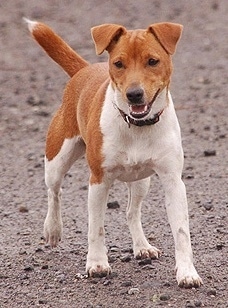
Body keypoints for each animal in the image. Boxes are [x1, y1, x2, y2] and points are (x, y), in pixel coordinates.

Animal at [25, 18, 202, 288]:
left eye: (153, 61)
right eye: (119, 64)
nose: (134, 94)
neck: (136, 125)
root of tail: (85, 69)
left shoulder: (173, 181)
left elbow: (181, 231)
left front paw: (187, 273)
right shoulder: (98, 181)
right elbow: (96, 227)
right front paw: (97, 264)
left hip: (141, 181)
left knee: (132, 211)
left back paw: (142, 246)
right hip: (57, 160)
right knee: (54, 192)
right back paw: (53, 229)